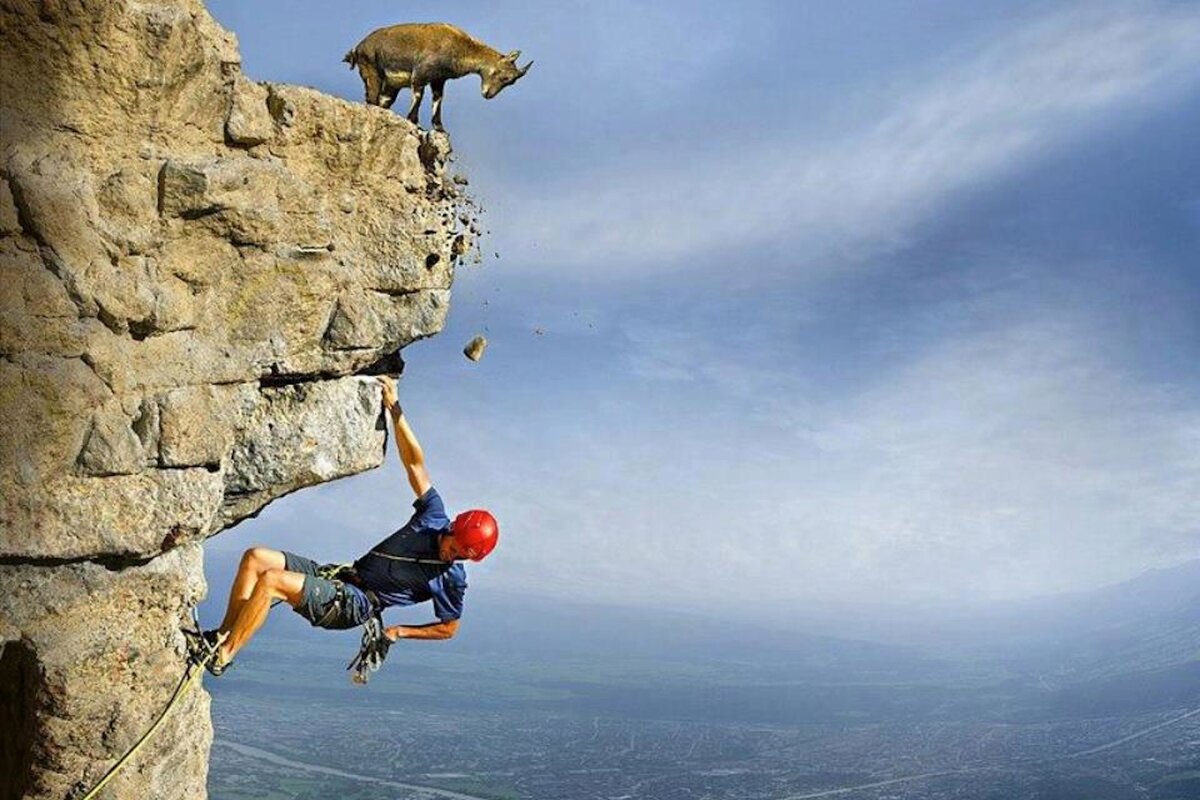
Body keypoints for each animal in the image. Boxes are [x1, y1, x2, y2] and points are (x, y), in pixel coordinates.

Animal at [348, 23, 535, 131]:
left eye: (511, 82)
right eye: (502, 75)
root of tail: (357, 48)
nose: (488, 94)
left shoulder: (438, 79)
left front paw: (439, 127)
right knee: (371, 98)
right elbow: (418, 95)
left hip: (391, 85)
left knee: (383, 100)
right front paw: (415, 122)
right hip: (371, 69)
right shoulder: (421, 73)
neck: (459, 47)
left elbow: (438, 98)